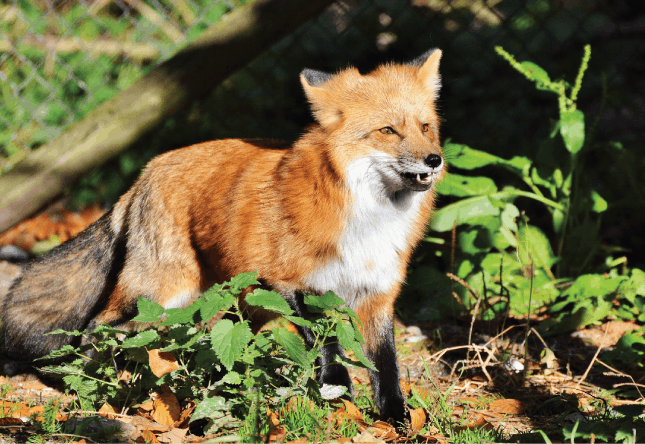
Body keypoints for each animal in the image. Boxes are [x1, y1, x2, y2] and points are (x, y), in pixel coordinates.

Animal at [1, 50, 442, 424]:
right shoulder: (292, 282)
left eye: (425, 127)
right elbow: (326, 342)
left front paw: (397, 419)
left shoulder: (377, 295)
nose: (434, 159)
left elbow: (386, 368)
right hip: (161, 291)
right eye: (387, 130)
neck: (369, 221)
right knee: (98, 325)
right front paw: (336, 391)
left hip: (239, 303)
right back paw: (99, 383)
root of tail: (147, 170)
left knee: (208, 343)